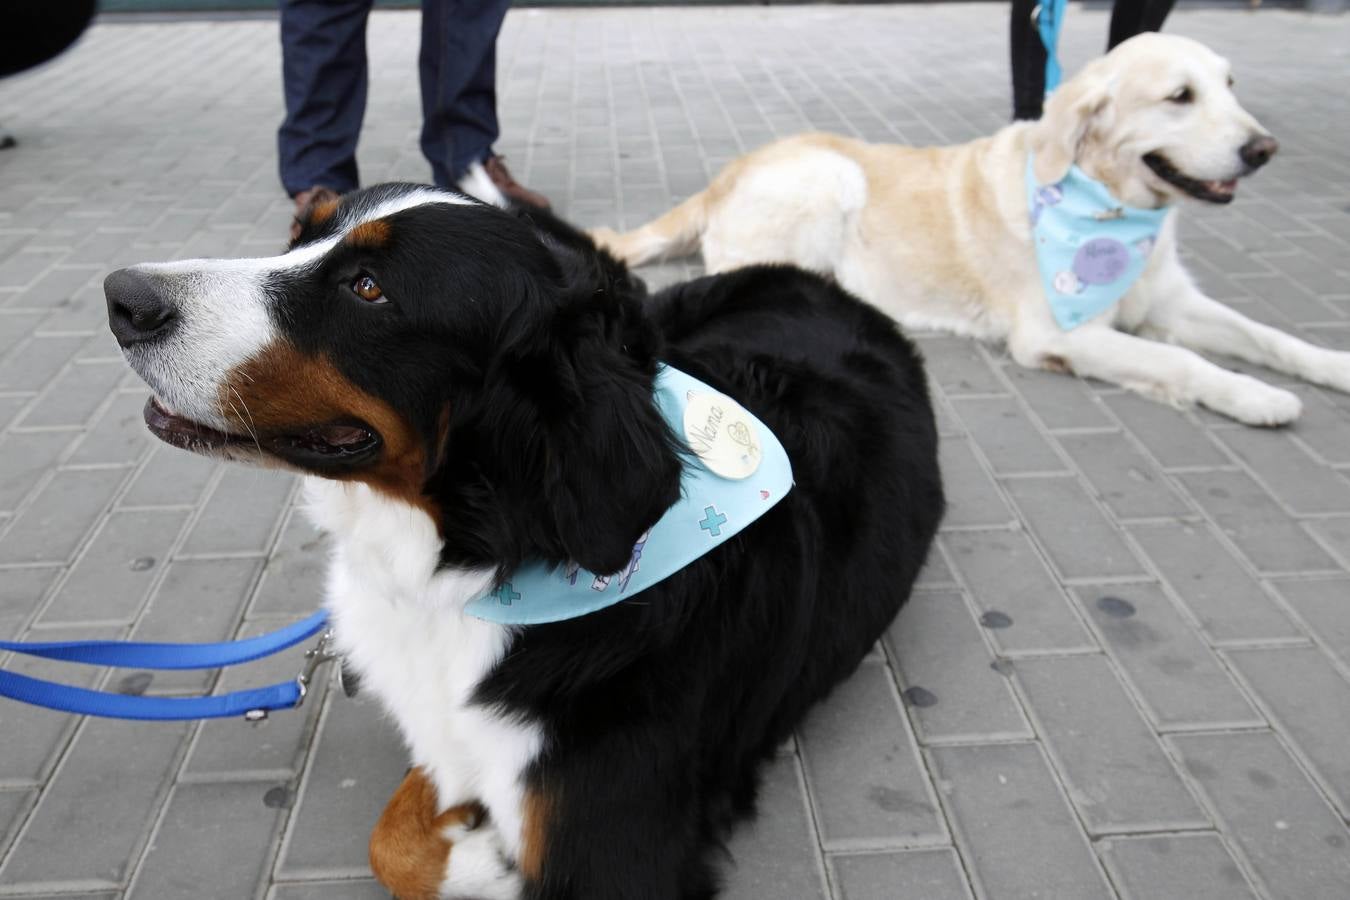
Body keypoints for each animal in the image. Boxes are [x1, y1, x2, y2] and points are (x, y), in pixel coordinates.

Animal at [102, 184, 939, 900]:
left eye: (367, 288)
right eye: (299, 236)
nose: (124, 297)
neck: (470, 567)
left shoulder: (610, 849)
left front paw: (492, 860)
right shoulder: (447, 734)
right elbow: (392, 841)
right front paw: (480, 855)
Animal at [599, 33, 1350, 429]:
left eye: (1230, 85)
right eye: (1180, 97)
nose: (1264, 149)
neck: (1110, 204)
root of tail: (726, 172)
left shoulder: (1171, 300)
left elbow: (1268, 337)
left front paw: (1331, 365)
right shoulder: (1057, 331)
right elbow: (1183, 362)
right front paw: (1256, 396)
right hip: (830, 176)